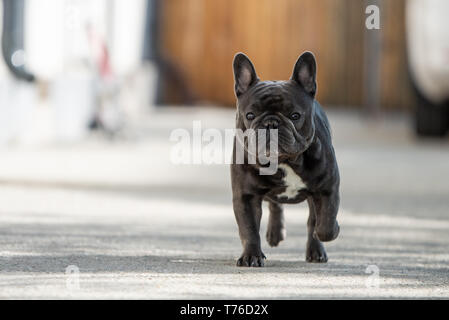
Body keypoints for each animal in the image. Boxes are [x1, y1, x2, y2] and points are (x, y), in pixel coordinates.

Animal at [231, 51, 340, 266]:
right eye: (250, 115)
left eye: (295, 115)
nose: (271, 123)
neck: (284, 161)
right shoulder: (246, 196)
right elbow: (249, 228)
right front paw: (251, 255)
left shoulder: (327, 189)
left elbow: (324, 224)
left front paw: (332, 230)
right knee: (275, 205)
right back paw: (275, 233)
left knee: (313, 221)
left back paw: (315, 250)